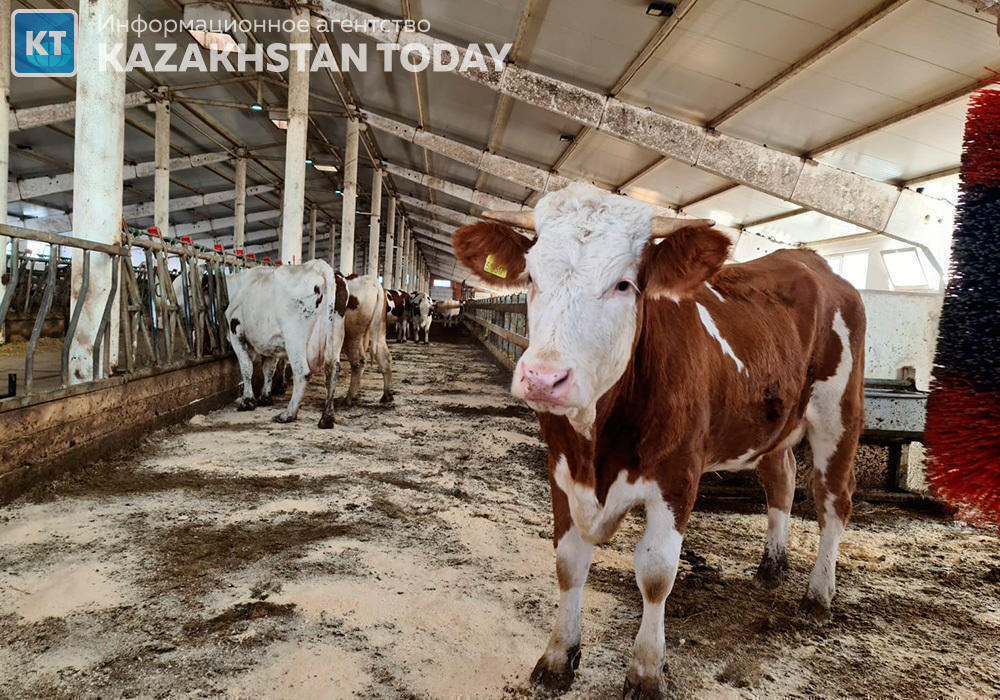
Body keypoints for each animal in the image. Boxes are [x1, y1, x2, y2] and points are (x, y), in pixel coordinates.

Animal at [226, 258, 348, 426]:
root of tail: (319, 266)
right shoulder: (271, 344)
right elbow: (268, 369)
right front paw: (265, 397)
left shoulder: (236, 334)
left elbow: (246, 368)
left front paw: (247, 401)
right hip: (336, 334)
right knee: (332, 369)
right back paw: (327, 418)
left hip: (294, 338)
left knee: (302, 372)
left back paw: (288, 414)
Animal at [456, 183, 868, 696]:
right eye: (531, 276)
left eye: (623, 284)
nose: (543, 378)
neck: (597, 446)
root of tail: (811, 261)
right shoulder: (561, 469)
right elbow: (569, 563)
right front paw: (557, 658)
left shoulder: (677, 476)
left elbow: (655, 573)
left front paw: (647, 672)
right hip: (774, 424)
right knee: (782, 479)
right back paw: (771, 567)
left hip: (839, 412)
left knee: (833, 500)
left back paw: (818, 596)